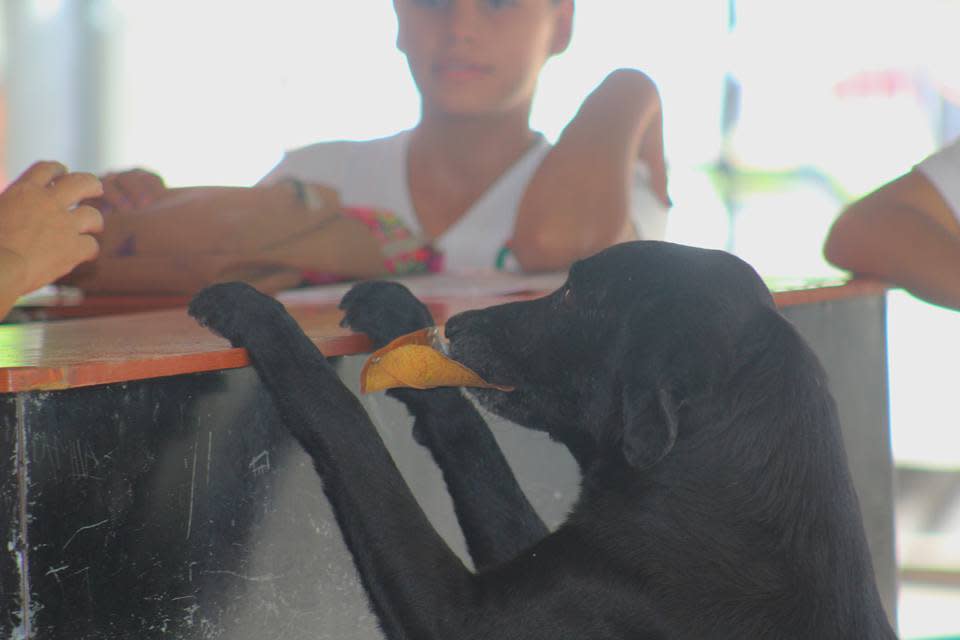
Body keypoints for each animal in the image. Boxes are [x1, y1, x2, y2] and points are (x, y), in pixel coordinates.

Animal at [191, 241, 896, 640]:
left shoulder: (461, 617)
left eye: (573, 294)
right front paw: (403, 318)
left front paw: (263, 317)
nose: (458, 323)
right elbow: (474, 443)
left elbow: (348, 430)